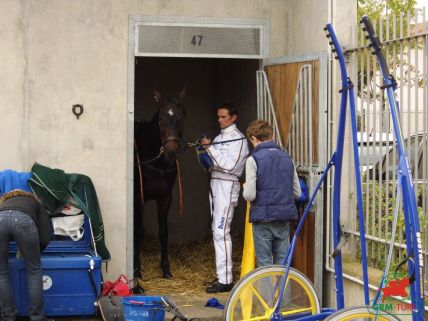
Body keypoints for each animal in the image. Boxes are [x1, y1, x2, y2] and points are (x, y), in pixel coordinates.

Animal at [134, 88, 186, 278]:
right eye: (160, 118)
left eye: (181, 116)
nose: (171, 151)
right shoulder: (138, 198)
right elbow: (138, 232)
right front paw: (137, 270)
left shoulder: (165, 197)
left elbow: (164, 232)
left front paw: (166, 269)